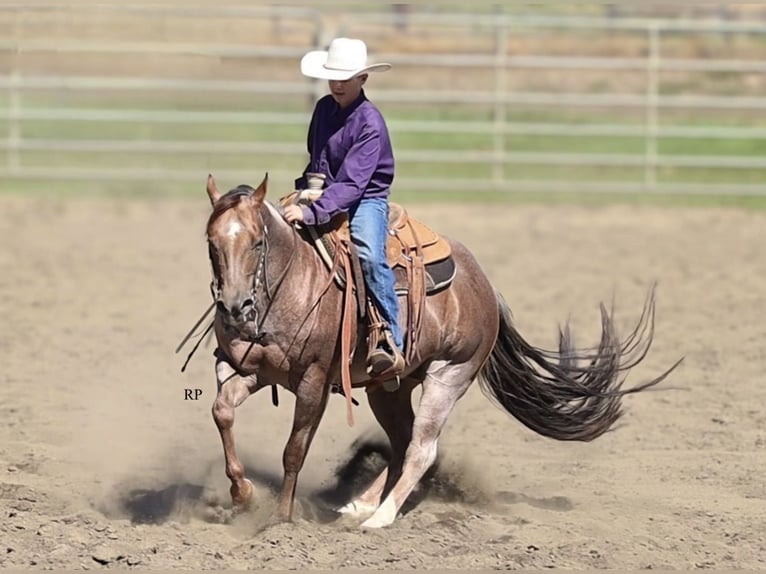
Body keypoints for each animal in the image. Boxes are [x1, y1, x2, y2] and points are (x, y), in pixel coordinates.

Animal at [184, 173, 681, 529]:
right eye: (211, 244)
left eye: (257, 242)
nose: (234, 307)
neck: (292, 282)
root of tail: (486, 288)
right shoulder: (246, 370)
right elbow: (221, 412)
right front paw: (241, 493)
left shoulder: (313, 382)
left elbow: (294, 450)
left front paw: (281, 519)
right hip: (389, 386)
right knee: (403, 442)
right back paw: (359, 506)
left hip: (448, 376)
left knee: (423, 448)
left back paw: (381, 518)